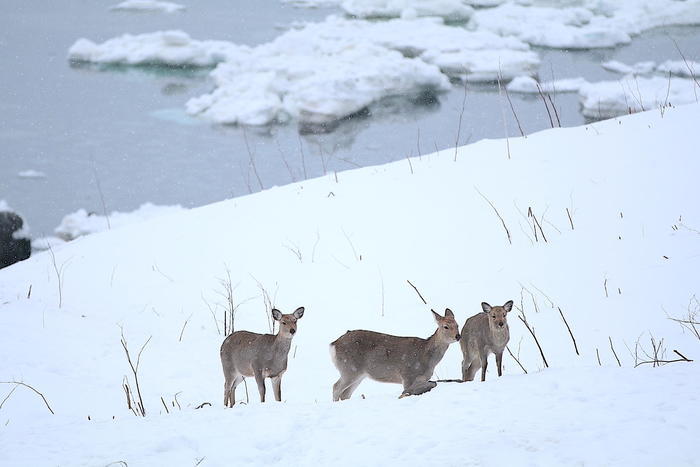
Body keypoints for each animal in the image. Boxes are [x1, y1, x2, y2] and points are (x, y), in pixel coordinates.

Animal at [330, 308, 462, 400]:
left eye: (457, 325)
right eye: (445, 326)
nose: (458, 336)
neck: (427, 358)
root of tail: (333, 344)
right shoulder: (408, 375)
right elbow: (410, 391)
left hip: (359, 374)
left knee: (345, 394)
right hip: (349, 369)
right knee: (336, 387)